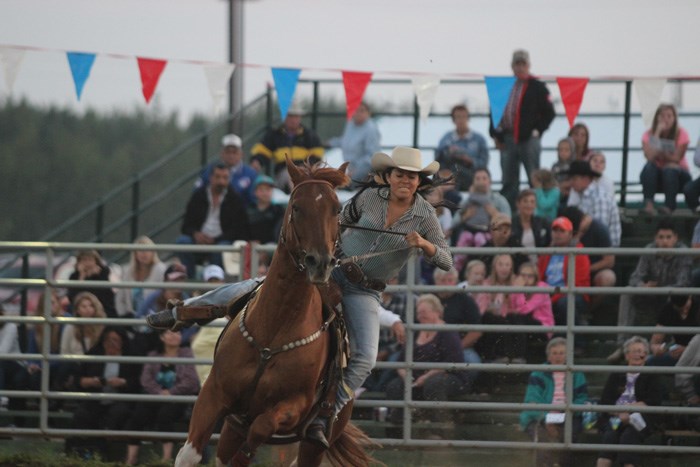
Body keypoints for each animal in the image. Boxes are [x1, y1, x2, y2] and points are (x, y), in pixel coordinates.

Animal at [174, 158, 378, 467]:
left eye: (335, 209)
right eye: (296, 206)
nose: (320, 262)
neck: (273, 329)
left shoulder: (292, 407)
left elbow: (261, 427)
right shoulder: (214, 392)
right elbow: (189, 453)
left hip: (316, 441)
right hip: (233, 426)